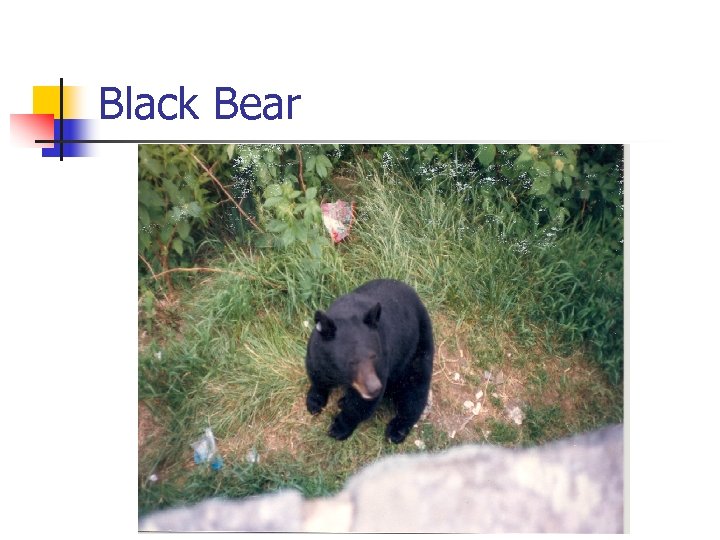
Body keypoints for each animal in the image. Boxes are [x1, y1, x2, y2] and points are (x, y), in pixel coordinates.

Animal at [305, 279, 434, 443]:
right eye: (351, 362)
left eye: (374, 356)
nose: (374, 388)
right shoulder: (318, 351)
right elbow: (317, 373)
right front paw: (314, 401)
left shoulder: (383, 359)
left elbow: (361, 405)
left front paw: (339, 428)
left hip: (417, 347)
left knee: (414, 389)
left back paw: (397, 429)